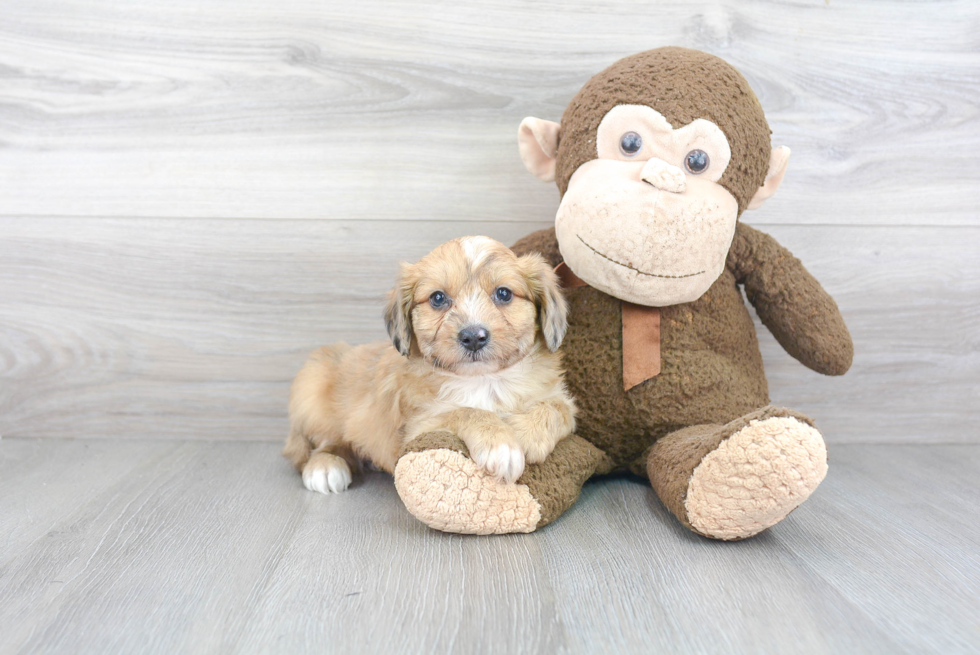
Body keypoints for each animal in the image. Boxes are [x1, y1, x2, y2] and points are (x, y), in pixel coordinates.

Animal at [282, 236, 576, 492]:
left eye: (504, 294)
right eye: (438, 298)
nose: (473, 337)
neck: (485, 381)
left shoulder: (560, 399)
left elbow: (557, 408)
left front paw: (525, 435)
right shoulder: (419, 427)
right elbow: (466, 411)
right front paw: (501, 444)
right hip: (313, 388)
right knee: (322, 443)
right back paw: (325, 467)